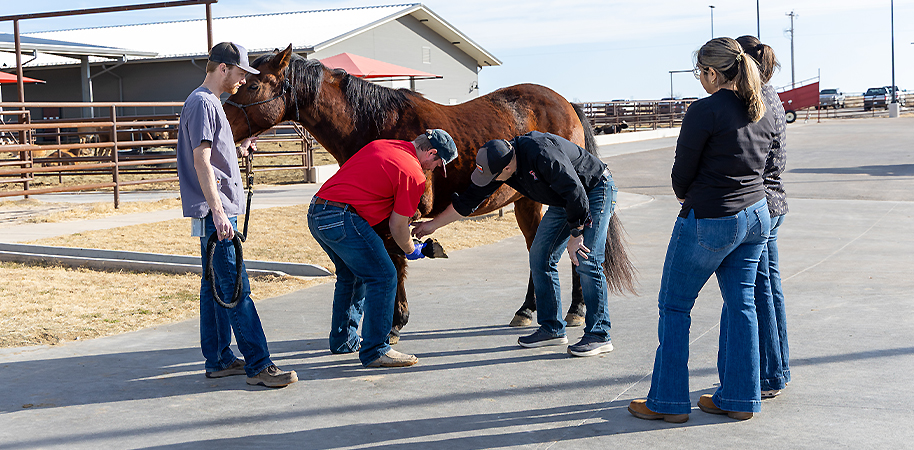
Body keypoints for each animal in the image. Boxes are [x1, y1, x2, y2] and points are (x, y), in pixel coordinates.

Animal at [224, 45, 636, 343]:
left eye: (254, 86)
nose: (224, 122)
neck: (376, 123)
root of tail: (567, 104)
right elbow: (392, 260)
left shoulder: (397, 211)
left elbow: (396, 261)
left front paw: (395, 322)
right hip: (527, 202)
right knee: (541, 249)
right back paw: (528, 310)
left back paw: (576, 309)